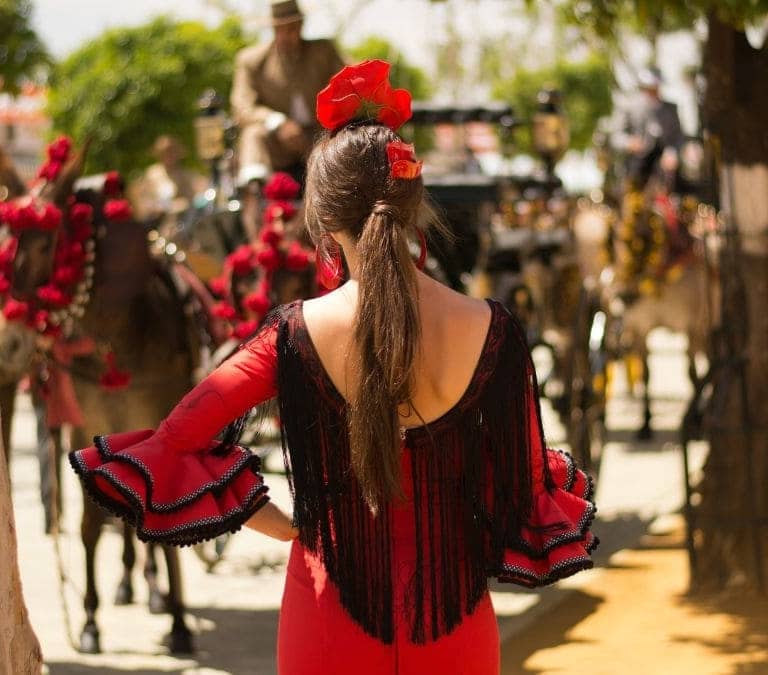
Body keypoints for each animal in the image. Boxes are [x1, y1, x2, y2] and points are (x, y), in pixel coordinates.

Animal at [5, 141, 198, 656]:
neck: (118, 339)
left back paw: (154, 591)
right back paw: (131, 584)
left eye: (44, 246)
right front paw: (90, 622)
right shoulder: (82, 427)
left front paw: (180, 624)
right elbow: (91, 526)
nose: (8, 341)